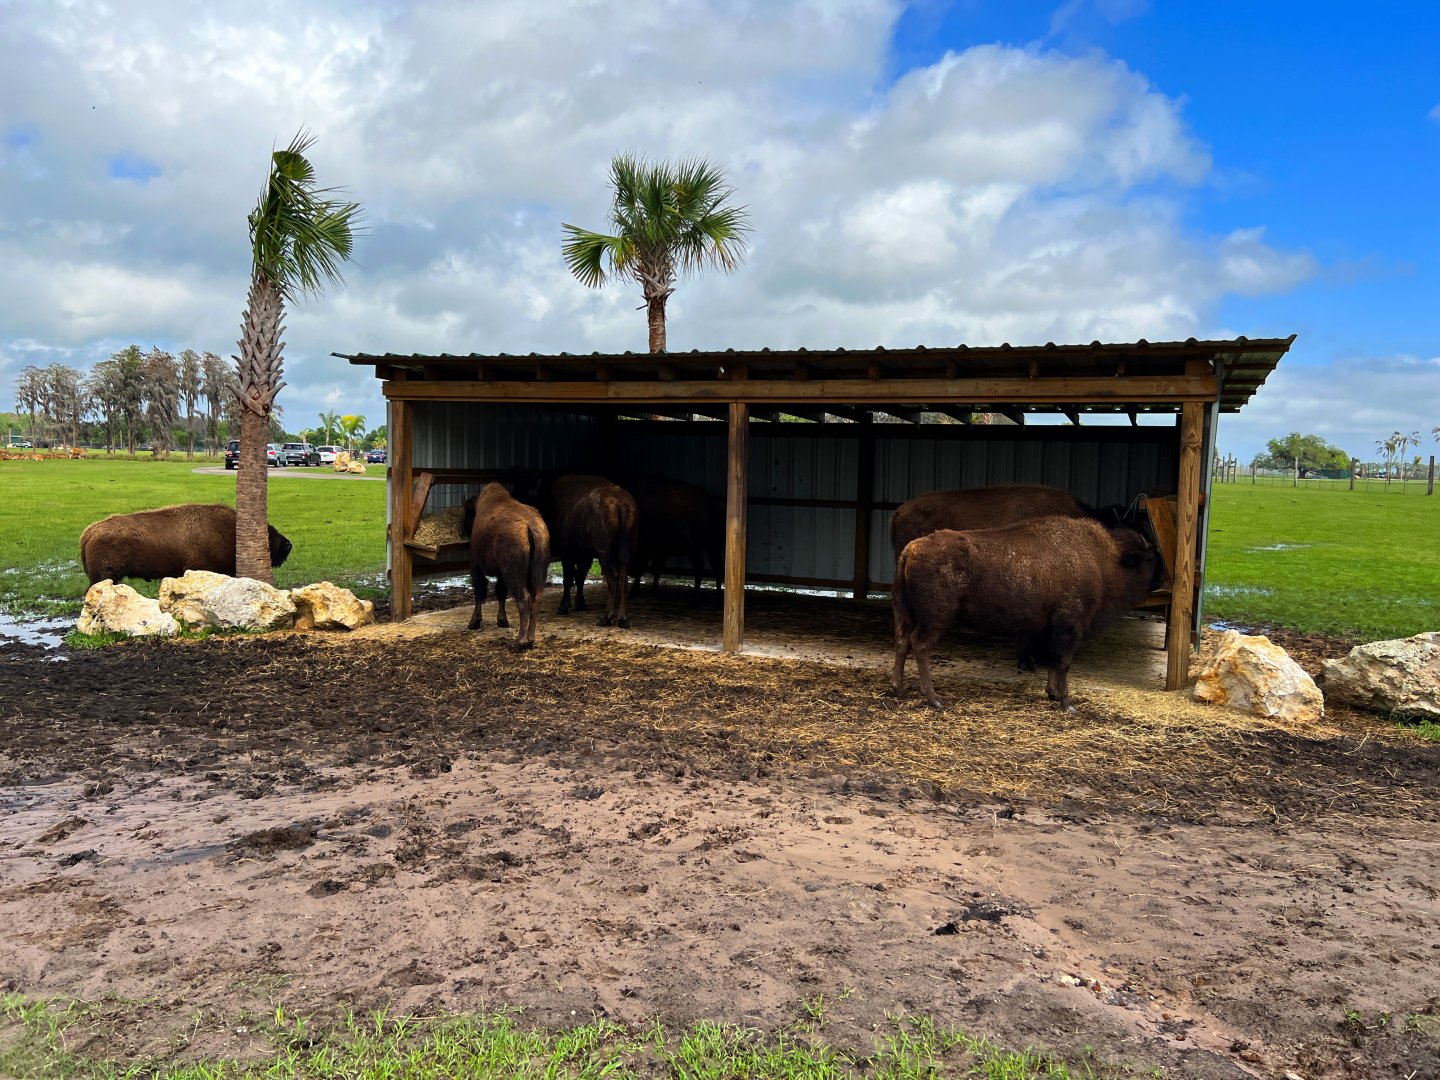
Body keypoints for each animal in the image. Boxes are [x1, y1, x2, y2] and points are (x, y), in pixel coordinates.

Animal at [460, 483, 551, 648]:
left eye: (467, 513)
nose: (463, 529)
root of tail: (529, 527)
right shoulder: (501, 573)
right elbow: (500, 593)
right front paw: (502, 620)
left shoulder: (476, 566)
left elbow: (480, 592)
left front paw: (474, 622)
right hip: (538, 569)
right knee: (536, 598)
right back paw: (531, 639)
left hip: (513, 574)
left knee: (523, 599)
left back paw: (521, 641)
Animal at [543, 474, 639, 628]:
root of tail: (618, 499)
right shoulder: (585, 555)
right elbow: (580, 577)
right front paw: (580, 604)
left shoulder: (567, 552)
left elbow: (569, 578)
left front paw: (563, 607)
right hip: (625, 551)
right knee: (623, 579)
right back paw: (623, 619)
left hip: (604, 552)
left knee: (612, 577)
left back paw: (606, 617)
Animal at [891, 515, 1161, 711]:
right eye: (1148, 557)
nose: (1161, 577)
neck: (1104, 559)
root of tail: (911, 549)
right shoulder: (1070, 627)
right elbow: (1063, 662)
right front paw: (1067, 703)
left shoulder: (1052, 628)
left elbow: (1053, 660)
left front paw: (1052, 693)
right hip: (935, 619)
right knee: (920, 646)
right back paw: (934, 699)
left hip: (907, 614)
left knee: (902, 642)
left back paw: (898, 688)